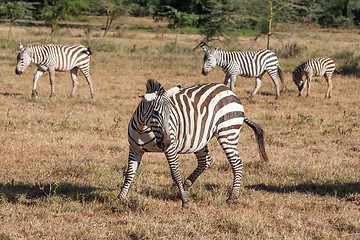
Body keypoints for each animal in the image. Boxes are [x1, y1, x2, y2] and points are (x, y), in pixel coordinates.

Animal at [116, 79, 268, 207]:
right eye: (155, 112)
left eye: (170, 114)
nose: (166, 142)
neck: (144, 129)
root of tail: (229, 91)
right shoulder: (135, 149)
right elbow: (129, 173)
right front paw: (120, 198)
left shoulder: (170, 149)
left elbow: (175, 173)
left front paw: (184, 200)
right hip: (200, 139)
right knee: (206, 161)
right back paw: (187, 184)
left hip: (227, 133)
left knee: (237, 164)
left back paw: (232, 197)